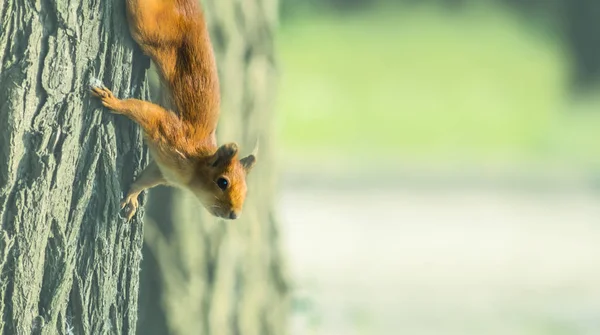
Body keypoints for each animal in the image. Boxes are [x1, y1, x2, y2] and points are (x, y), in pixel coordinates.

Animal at [91, 0, 255, 222]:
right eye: (223, 182)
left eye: (246, 190)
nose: (234, 215)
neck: (192, 171)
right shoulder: (169, 130)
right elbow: (144, 110)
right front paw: (114, 102)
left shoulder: (163, 171)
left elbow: (146, 178)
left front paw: (133, 195)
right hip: (148, 25)